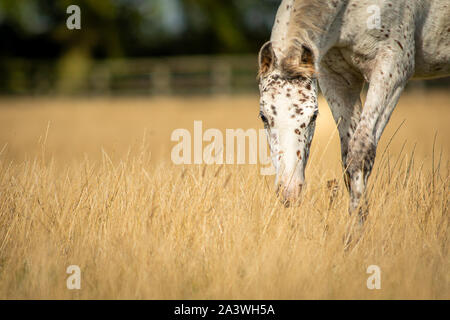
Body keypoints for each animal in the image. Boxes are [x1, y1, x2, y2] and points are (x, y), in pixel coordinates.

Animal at [258, 0, 448, 222]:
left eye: (314, 116)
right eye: (263, 117)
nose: (289, 192)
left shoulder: (394, 65)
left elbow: (361, 152)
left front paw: (355, 228)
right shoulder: (336, 77)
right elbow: (347, 157)